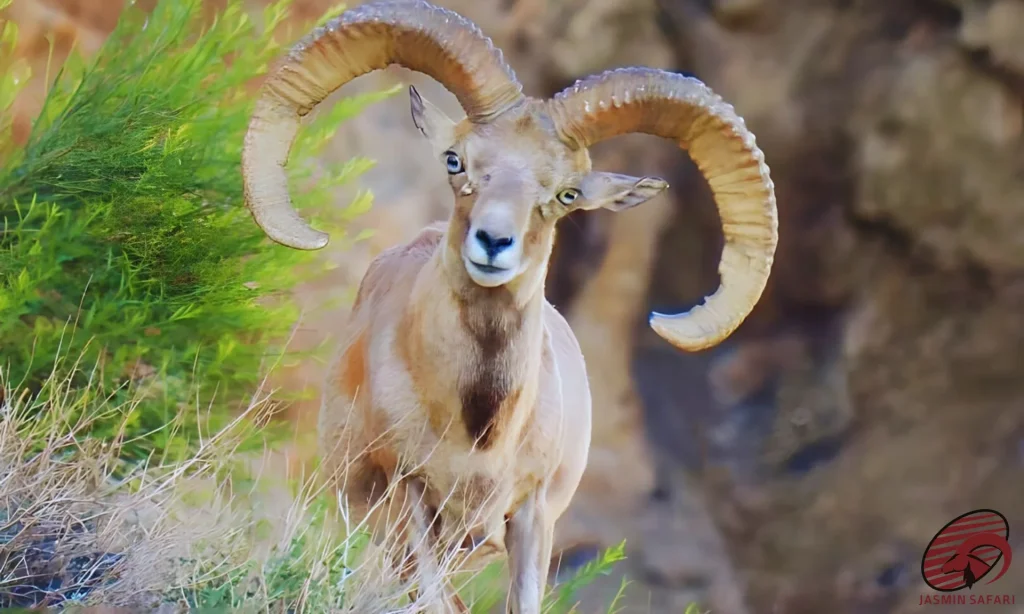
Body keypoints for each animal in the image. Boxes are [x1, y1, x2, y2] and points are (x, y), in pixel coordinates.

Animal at [240, 0, 778, 611]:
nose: (493, 242)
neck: (478, 435)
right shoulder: (411, 502)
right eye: (455, 161)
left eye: (567, 194)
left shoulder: (531, 517)